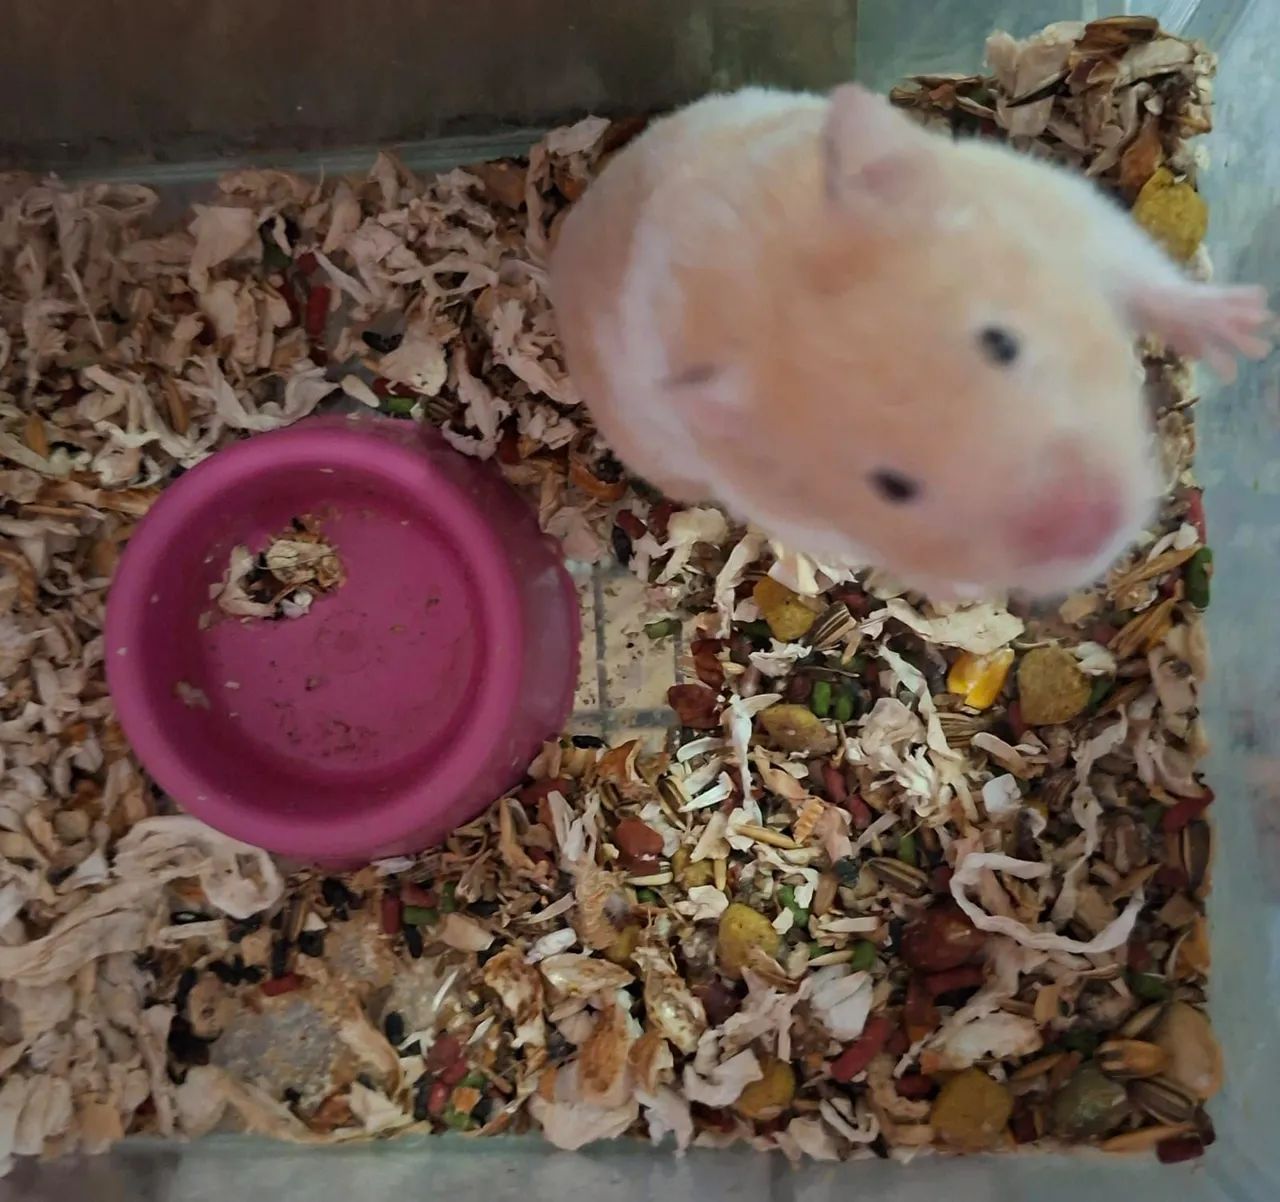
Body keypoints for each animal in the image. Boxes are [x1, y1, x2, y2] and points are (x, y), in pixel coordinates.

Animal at [550, 84, 1273, 598]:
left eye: (1001, 342)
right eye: (892, 487)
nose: (1091, 523)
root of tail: (571, 227)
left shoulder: (1059, 206)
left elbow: (1145, 274)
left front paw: (1251, 334)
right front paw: (959, 589)